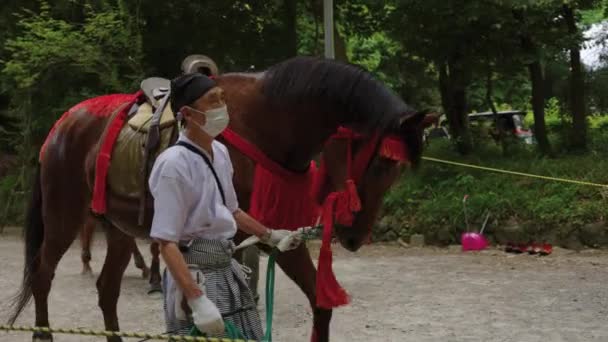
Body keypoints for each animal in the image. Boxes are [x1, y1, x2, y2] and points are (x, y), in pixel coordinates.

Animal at [7, 56, 430, 342]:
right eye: (381, 165)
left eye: (397, 170)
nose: (354, 237)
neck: (266, 123)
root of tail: (63, 124)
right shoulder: (252, 232)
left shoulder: (276, 229)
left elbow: (320, 303)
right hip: (64, 213)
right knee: (42, 274)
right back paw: (43, 331)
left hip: (118, 227)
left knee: (106, 289)